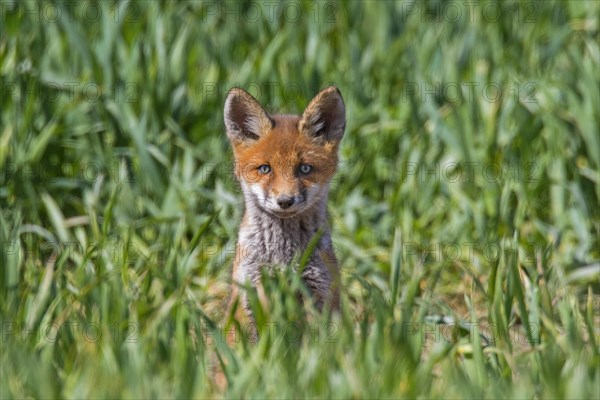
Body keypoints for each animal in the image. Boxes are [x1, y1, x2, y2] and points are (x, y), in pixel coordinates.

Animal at [224, 85, 346, 332]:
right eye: (265, 169)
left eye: (305, 169)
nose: (285, 201)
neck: (283, 259)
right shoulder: (251, 294)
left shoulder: (319, 294)